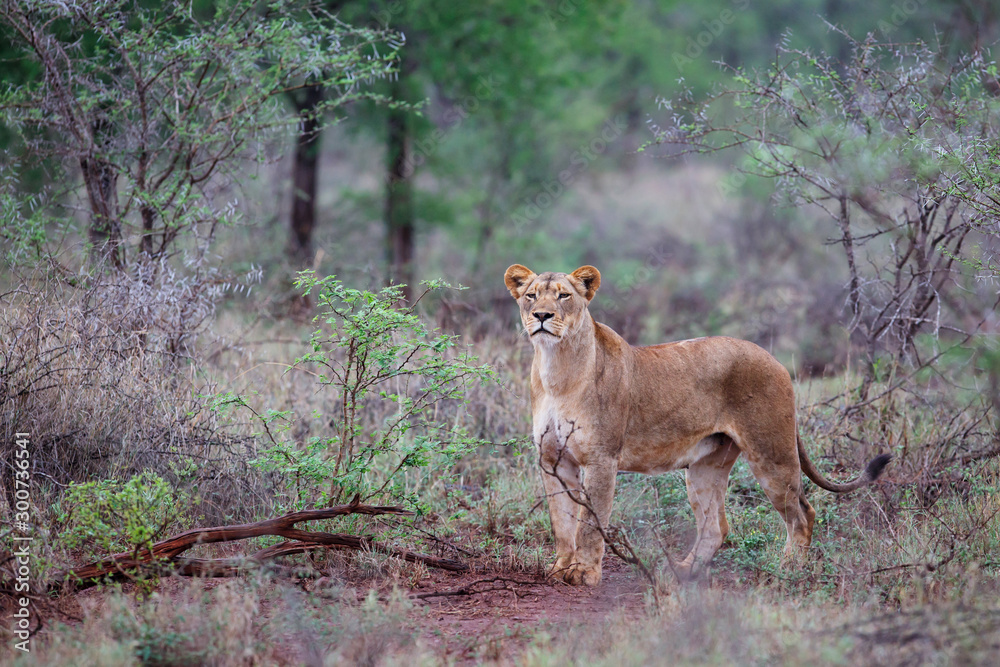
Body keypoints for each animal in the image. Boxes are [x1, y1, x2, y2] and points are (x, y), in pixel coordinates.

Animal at [504, 264, 891, 586]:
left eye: (563, 296)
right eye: (531, 295)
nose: (541, 315)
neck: (557, 369)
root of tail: (774, 359)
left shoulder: (602, 459)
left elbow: (589, 523)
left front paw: (584, 574)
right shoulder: (553, 460)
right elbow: (562, 521)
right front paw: (559, 569)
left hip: (771, 454)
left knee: (803, 514)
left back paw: (788, 570)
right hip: (706, 466)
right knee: (716, 526)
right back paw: (684, 571)